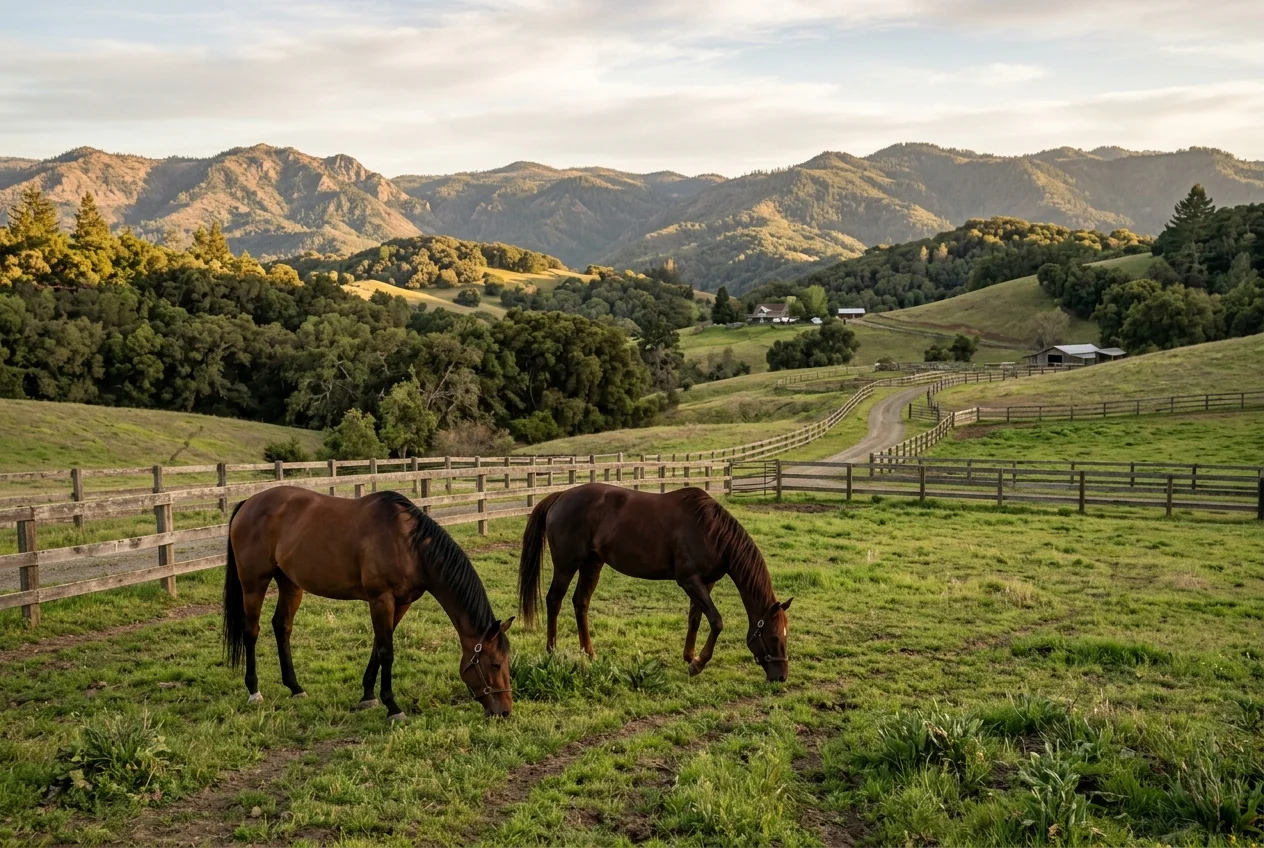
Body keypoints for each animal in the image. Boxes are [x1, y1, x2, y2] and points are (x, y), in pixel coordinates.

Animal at [222, 486, 514, 719]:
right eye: (495, 664)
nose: (505, 711)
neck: (410, 546)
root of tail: (248, 502)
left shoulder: (401, 603)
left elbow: (378, 646)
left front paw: (368, 696)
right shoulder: (381, 598)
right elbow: (387, 651)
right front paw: (393, 707)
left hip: (290, 583)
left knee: (282, 626)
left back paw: (295, 688)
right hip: (254, 582)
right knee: (251, 631)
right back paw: (254, 691)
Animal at [517, 483, 792, 682]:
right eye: (774, 638)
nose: (781, 677)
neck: (711, 531)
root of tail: (560, 496)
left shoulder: (705, 583)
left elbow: (695, 618)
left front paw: (689, 657)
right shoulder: (689, 580)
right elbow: (716, 621)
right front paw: (698, 664)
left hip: (592, 565)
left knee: (580, 602)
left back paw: (590, 653)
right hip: (566, 566)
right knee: (554, 600)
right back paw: (552, 652)